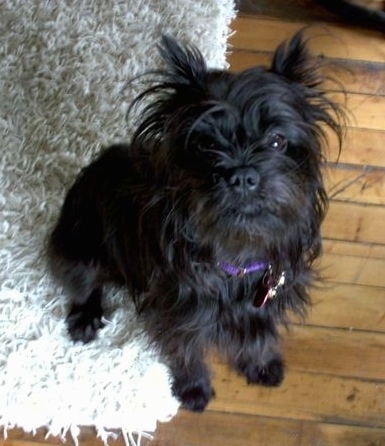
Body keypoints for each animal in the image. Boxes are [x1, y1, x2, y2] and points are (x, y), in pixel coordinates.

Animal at [48, 33, 342, 412]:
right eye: (205, 144)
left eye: (277, 140)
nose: (242, 175)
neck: (237, 254)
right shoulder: (178, 313)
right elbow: (185, 350)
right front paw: (192, 389)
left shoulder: (266, 298)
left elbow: (259, 335)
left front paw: (261, 365)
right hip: (79, 252)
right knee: (82, 285)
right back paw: (85, 317)